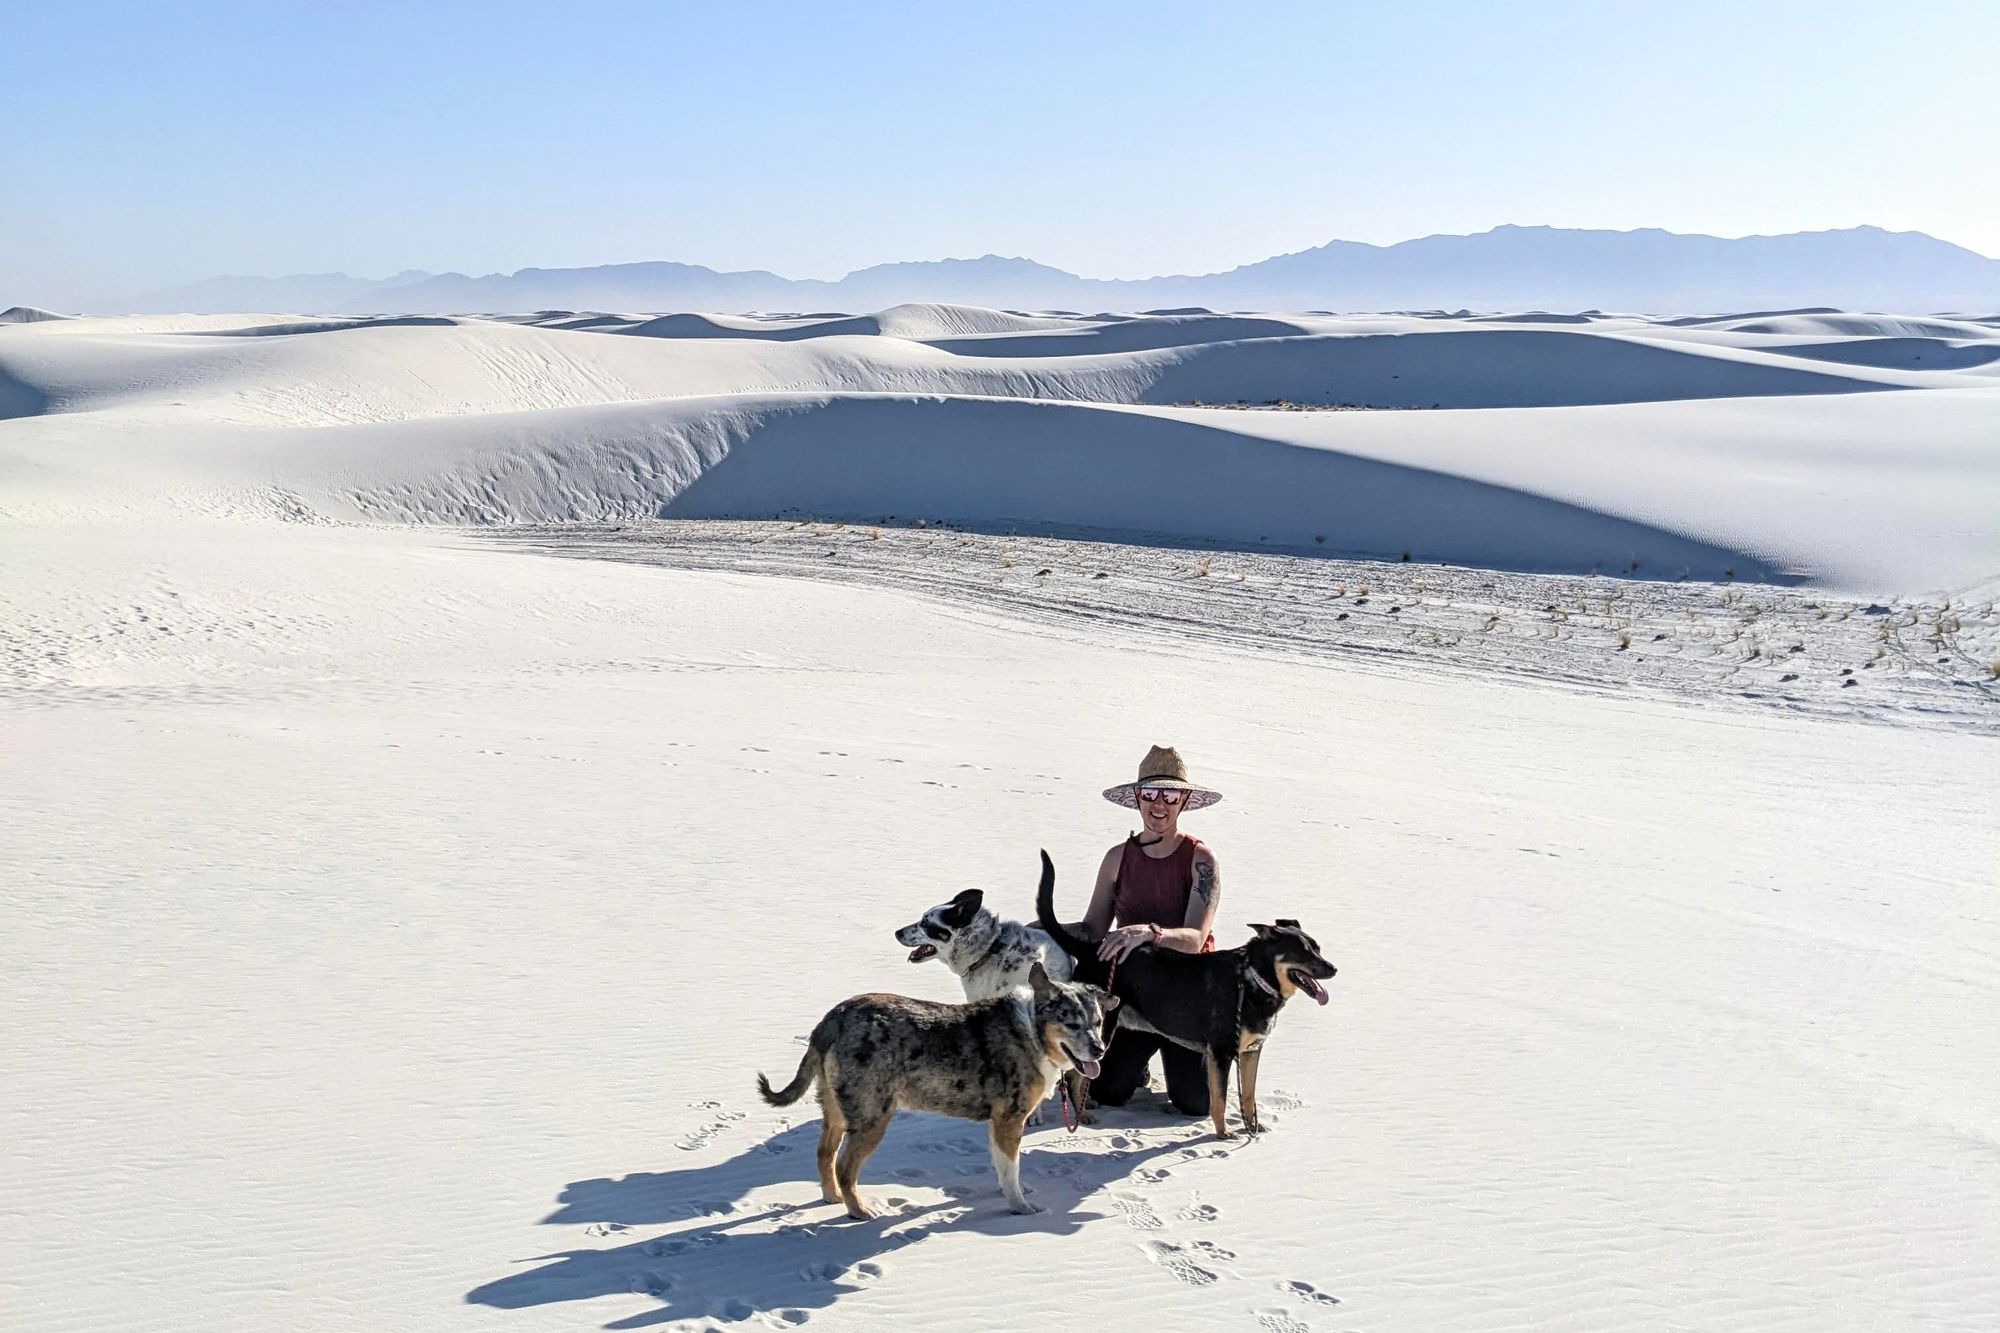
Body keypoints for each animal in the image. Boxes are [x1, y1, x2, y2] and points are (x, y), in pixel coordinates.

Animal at [756, 956, 1120, 1216]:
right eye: (1071, 1024)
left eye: (1098, 1022)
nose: (1101, 1050)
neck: (1032, 1030)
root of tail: (834, 1018)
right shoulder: (1010, 1120)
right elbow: (1011, 1168)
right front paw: (1020, 1207)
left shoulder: (997, 1121)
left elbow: (1002, 1167)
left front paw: (1010, 1191)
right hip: (874, 1117)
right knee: (845, 1167)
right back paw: (858, 1210)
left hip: (836, 1111)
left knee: (824, 1154)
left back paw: (832, 1198)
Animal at [1040, 844, 1336, 1136]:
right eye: (1303, 952)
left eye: (1318, 948)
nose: (1333, 969)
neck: (1253, 979)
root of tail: (1091, 948)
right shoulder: (1221, 1052)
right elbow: (1219, 1098)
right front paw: (1223, 1133)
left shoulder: (1251, 1051)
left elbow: (1248, 1094)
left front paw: (1252, 1127)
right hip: (1102, 1028)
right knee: (1075, 1072)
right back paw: (1082, 1112)